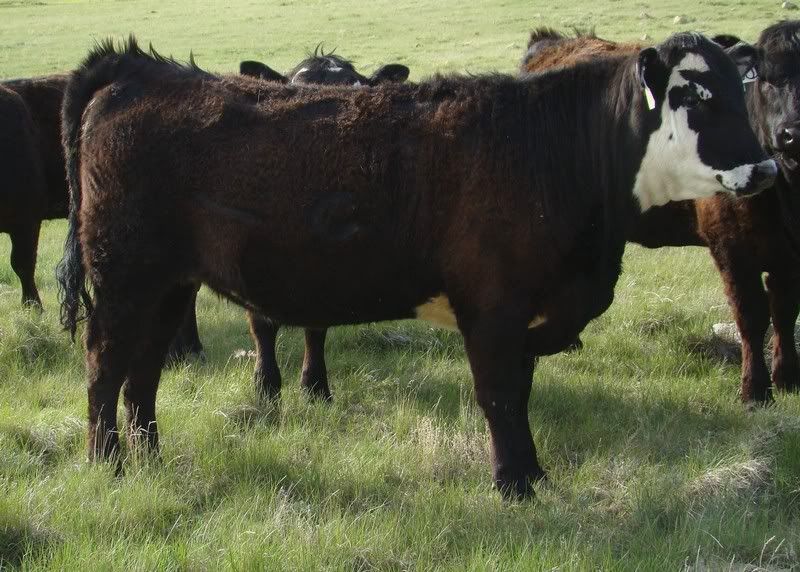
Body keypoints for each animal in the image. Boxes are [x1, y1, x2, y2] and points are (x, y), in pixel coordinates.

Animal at [522, 23, 800, 405]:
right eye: (769, 80)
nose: (792, 134)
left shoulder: (787, 256)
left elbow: (784, 311)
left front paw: (787, 378)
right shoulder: (732, 249)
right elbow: (752, 315)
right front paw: (755, 390)